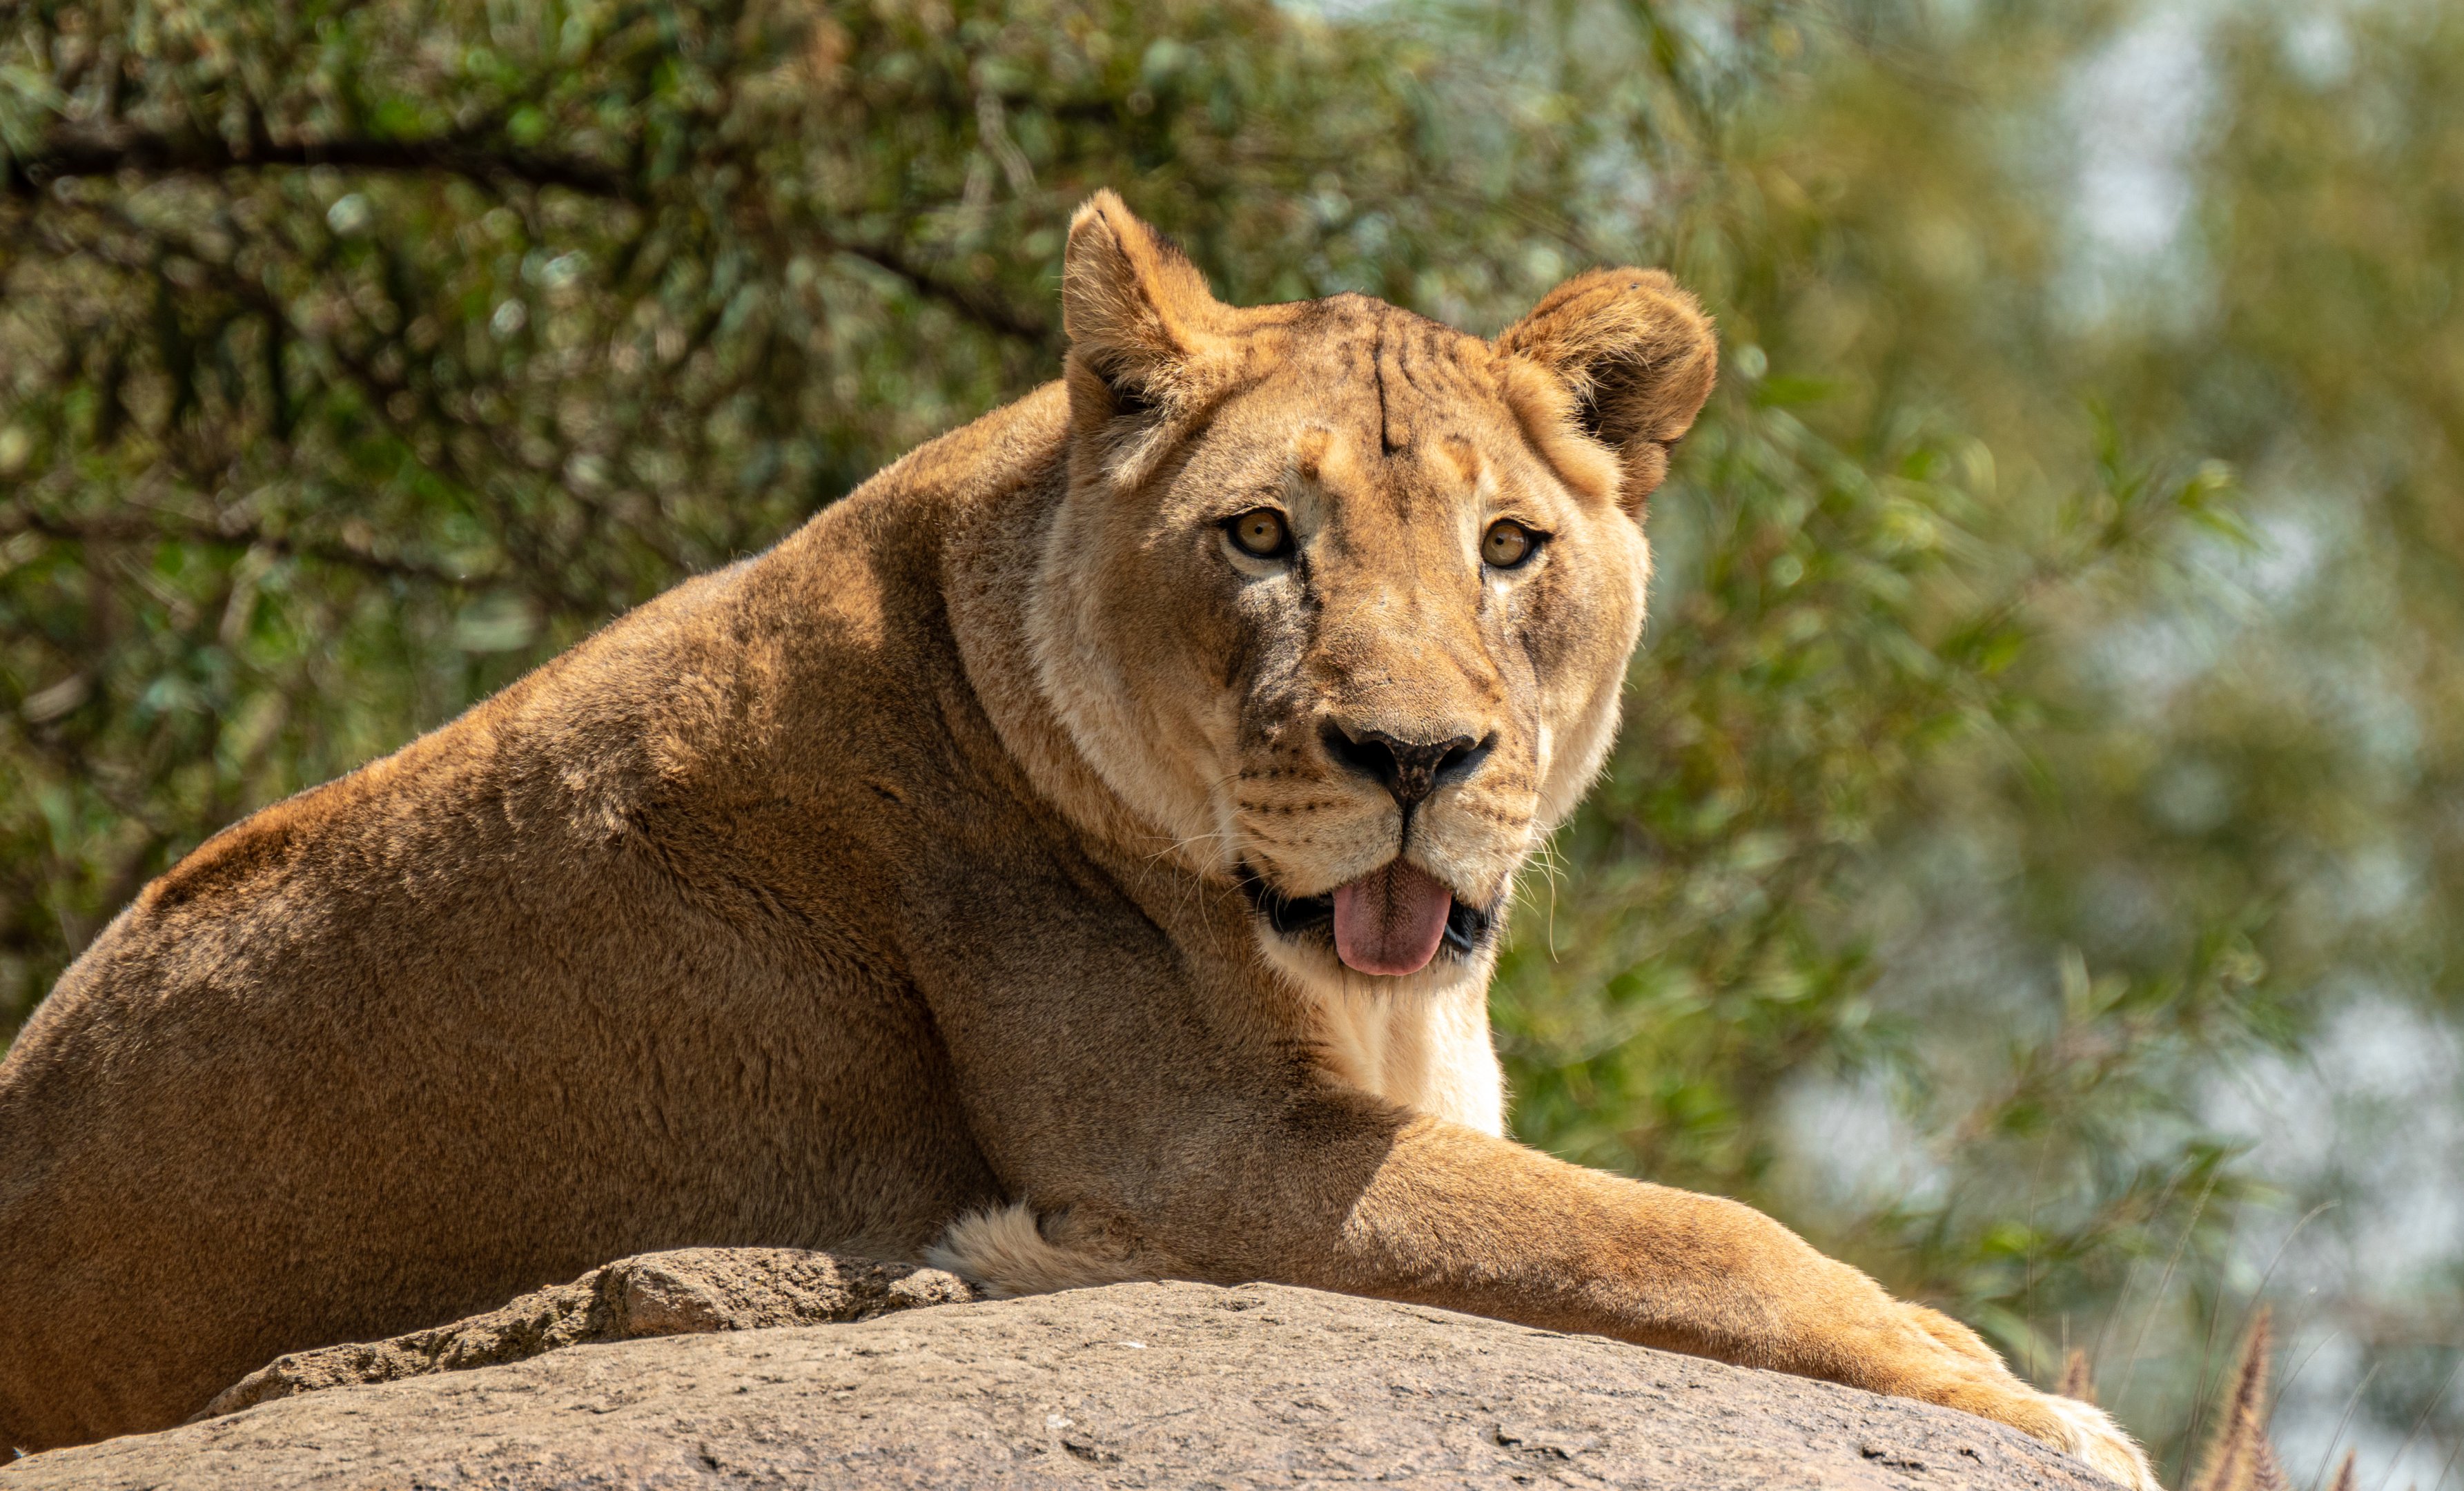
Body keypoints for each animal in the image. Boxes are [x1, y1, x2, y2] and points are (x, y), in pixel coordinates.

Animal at [0, 191, 2153, 1486]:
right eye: (1260, 534)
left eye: (1508, 546)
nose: (1414, 756)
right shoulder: (1202, 1162)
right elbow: (1692, 1235)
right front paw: (2027, 1402)